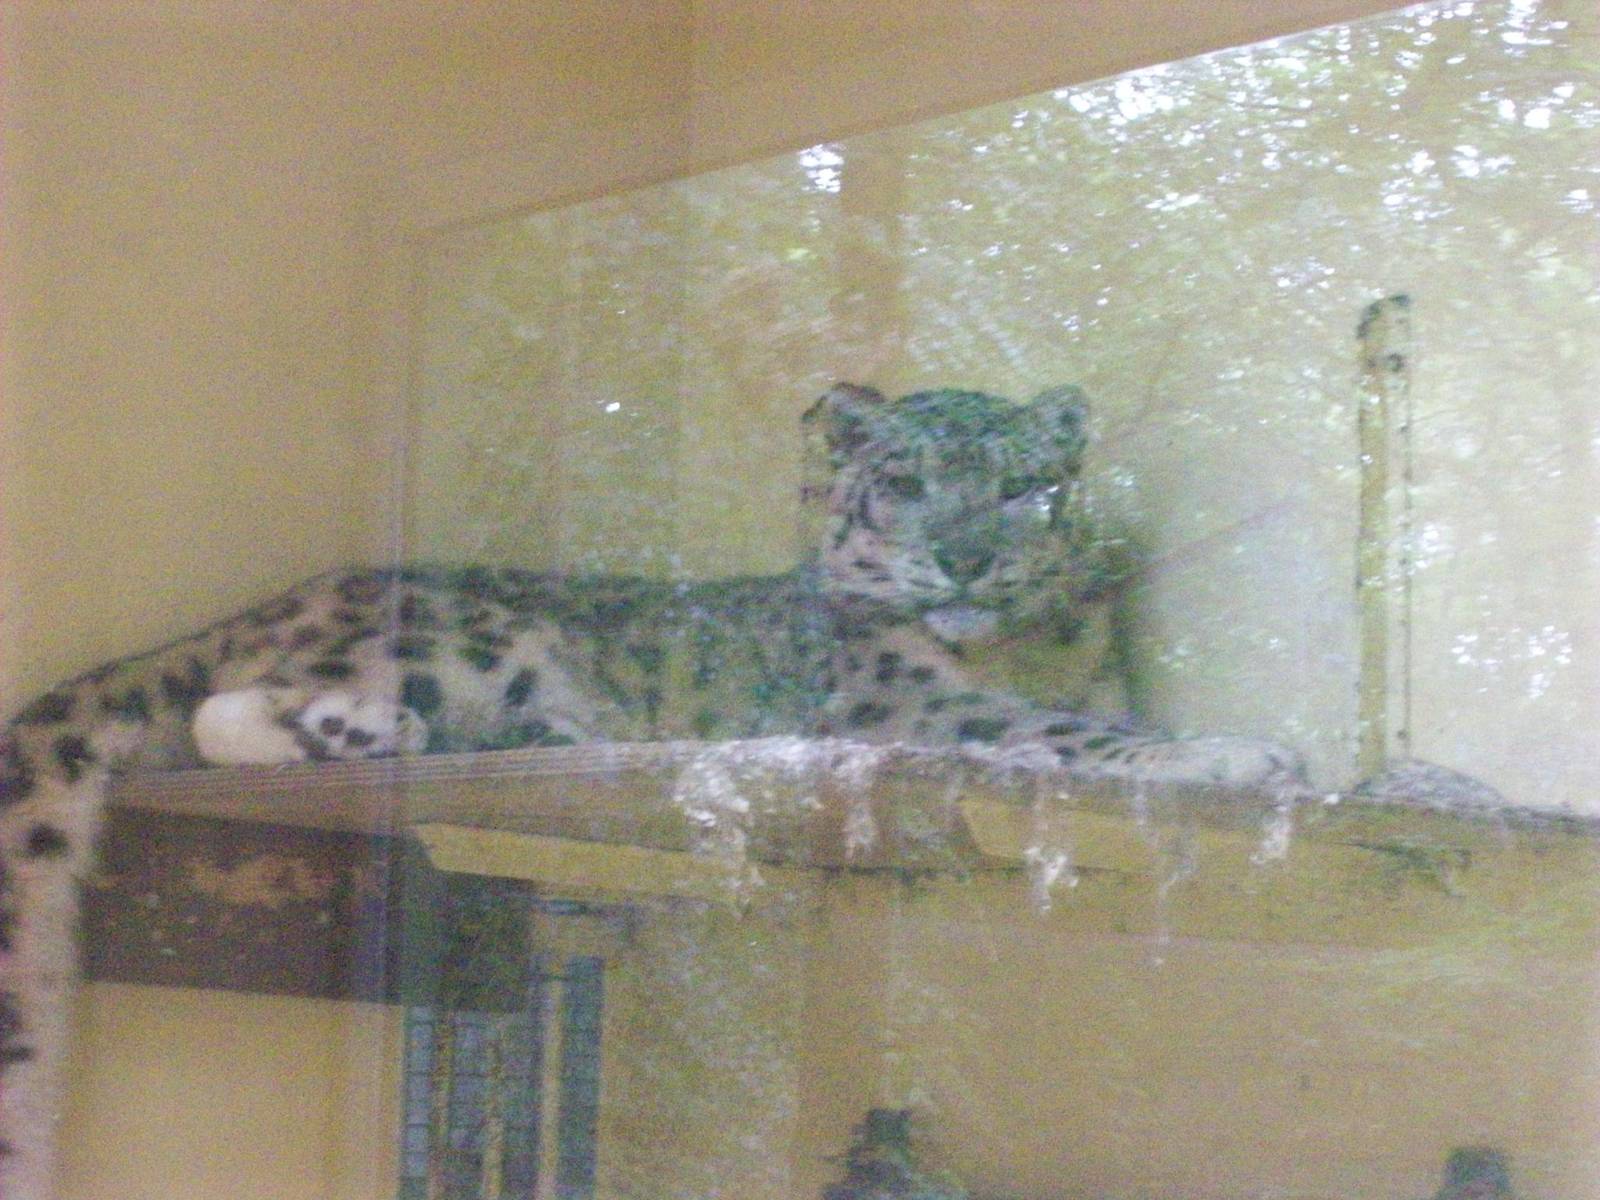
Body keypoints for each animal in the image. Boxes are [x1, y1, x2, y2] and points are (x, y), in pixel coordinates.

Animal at [0, 382, 1304, 1198]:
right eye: (904, 479)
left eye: (1026, 485)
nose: (967, 556)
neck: (1028, 648)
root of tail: (267, 604)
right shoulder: (921, 714)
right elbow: (1061, 735)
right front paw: (1246, 756)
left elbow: (1102, 723)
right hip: (459, 637)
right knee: (222, 709)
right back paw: (411, 722)